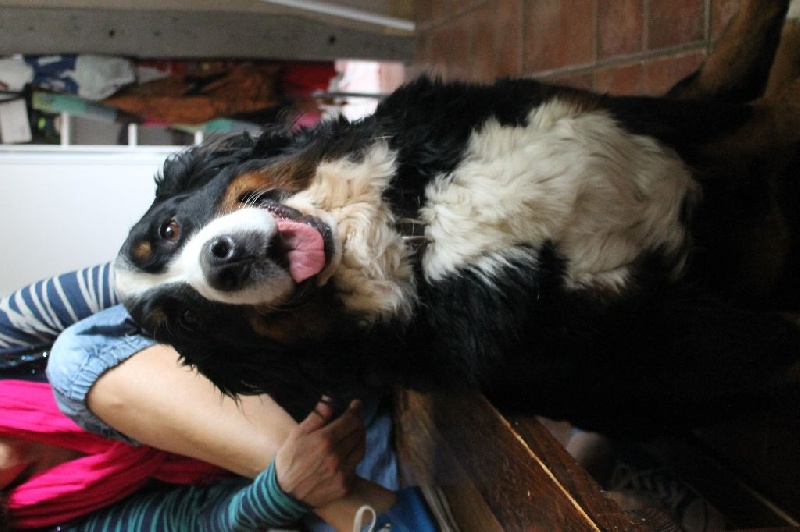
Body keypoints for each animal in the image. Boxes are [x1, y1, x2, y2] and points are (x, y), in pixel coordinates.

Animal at [115, 5, 800, 436]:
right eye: (188, 318)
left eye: (168, 230)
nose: (222, 261)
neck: (415, 221)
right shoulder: (640, 341)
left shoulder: (624, 125)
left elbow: (754, 108)